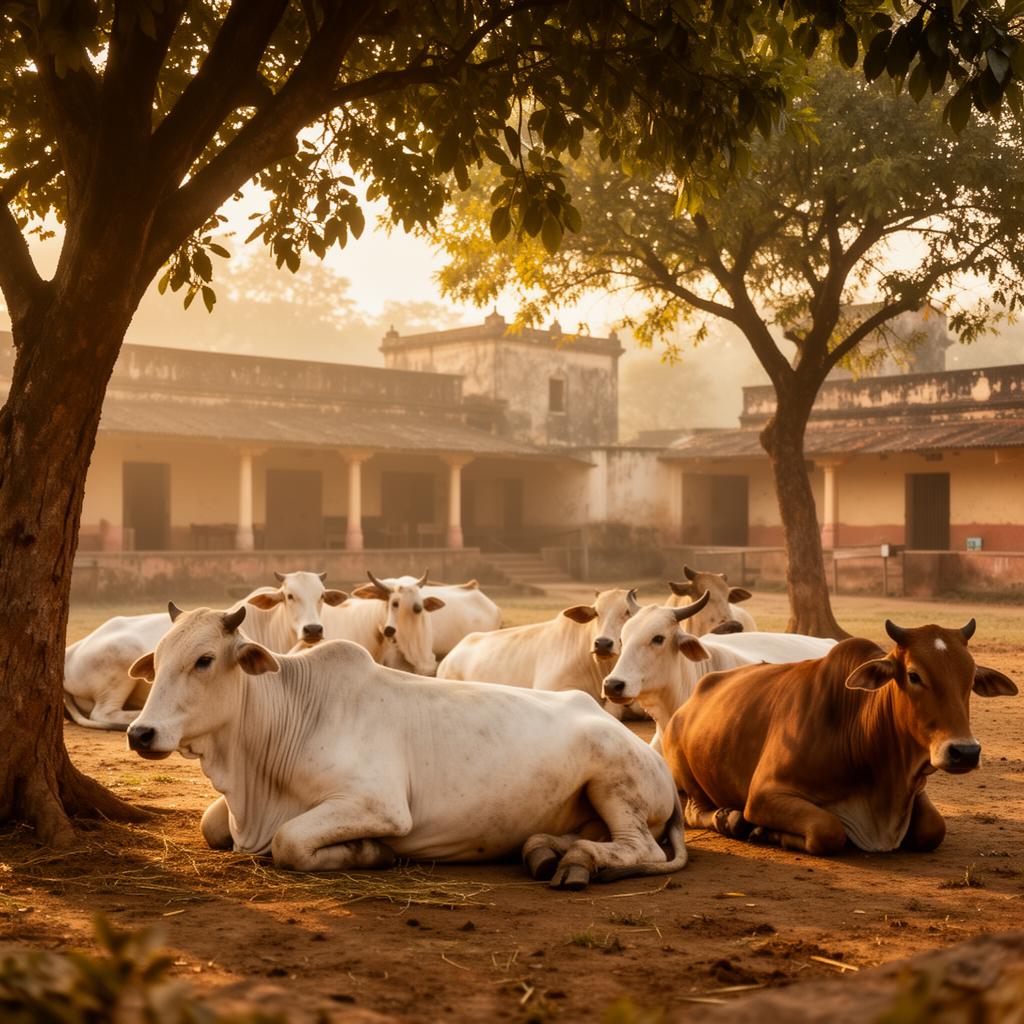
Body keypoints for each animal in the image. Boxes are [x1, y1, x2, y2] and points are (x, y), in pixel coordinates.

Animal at [63, 571, 346, 730]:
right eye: (289, 596)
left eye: (321, 596)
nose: (313, 629)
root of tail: (70, 652)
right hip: (121, 661)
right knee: (104, 713)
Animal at [125, 604, 689, 889]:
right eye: (158, 658)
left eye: (203, 660)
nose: (140, 733)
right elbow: (212, 825)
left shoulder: (380, 805)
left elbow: (288, 842)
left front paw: (370, 852)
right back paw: (547, 851)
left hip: (614, 781)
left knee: (638, 848)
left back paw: (579, 862)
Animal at [663, 619, 1018, 855]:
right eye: (914, 675)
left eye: (971, 678)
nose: (965, 752)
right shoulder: (764, 794)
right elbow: (828, 831)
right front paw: (765, 831)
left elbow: (934, 829)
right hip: (686, 772)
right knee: (695, 810)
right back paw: (728, 819)